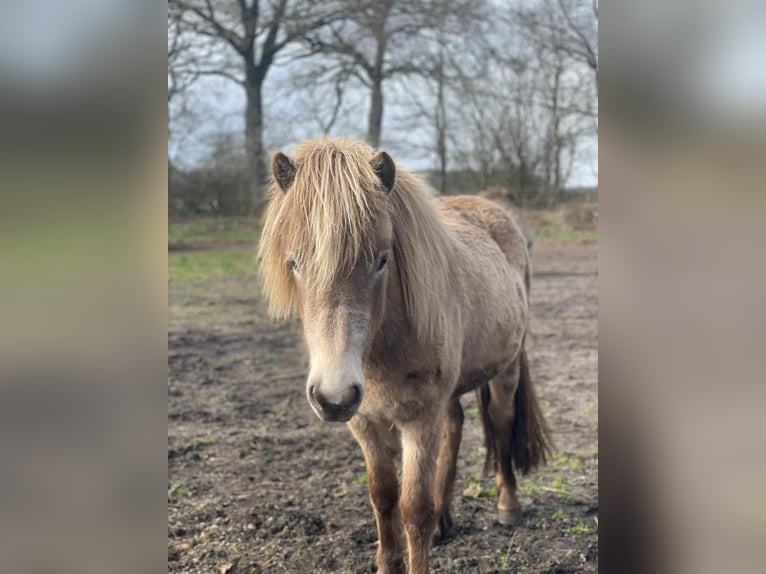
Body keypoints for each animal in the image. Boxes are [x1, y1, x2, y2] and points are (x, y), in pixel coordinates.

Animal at [259, 138, 552, 574]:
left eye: (382, 260)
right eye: (293, 263)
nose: (333, 396)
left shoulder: (419, 419)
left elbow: (413, 509)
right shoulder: (364, 423)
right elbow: (383, 497)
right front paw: (388, 562)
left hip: (507, 368)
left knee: (500, 422)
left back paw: (508, 505)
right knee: (455, 426)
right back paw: (446, 518)